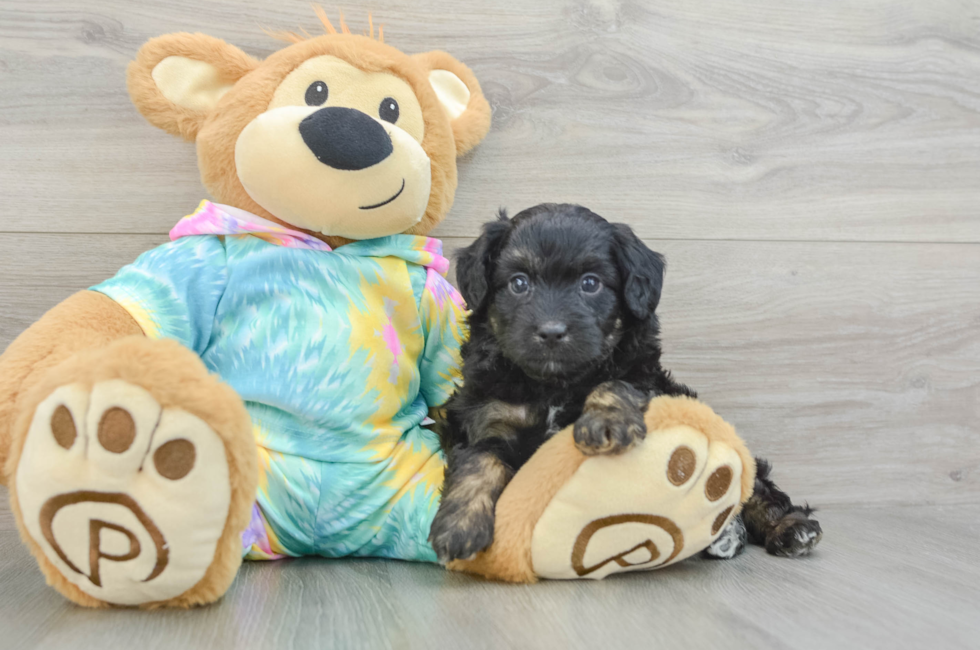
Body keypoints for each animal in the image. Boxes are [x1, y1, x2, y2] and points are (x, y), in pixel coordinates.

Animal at [428, 204, 820, 560]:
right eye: (518, 283)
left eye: (590, 283)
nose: (552, 331)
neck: (555, 384)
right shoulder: (486, 415)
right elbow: (479, 459)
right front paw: (458, 525)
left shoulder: (645, 378)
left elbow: (617, 384)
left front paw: (604, 422)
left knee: (756, 487)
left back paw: (790, 528)